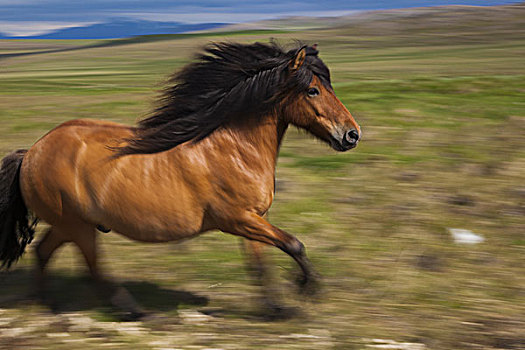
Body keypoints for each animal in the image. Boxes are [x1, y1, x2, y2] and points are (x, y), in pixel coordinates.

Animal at [0, 41, 358, 320]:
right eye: (312, 90)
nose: (352, 134)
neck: (235, 148)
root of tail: (32, 152)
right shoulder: (237, 219)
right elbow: (293, 243)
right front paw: (307, 287)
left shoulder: (255, 219)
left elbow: (259, 264)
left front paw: (277, 308)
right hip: (78, 226)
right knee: (94, 268)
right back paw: (134, 310)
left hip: (70, 225)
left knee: (43, 252)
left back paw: (45, 303)